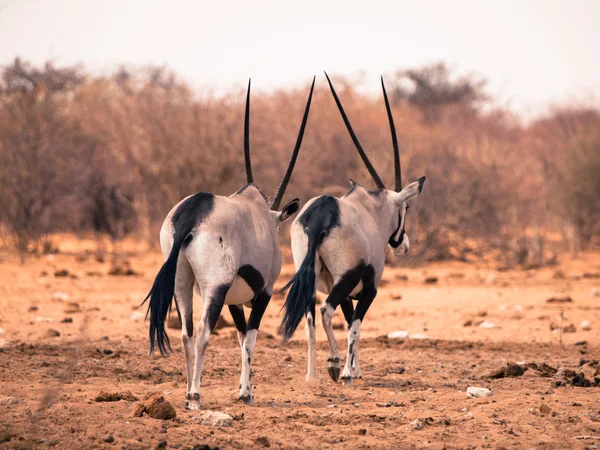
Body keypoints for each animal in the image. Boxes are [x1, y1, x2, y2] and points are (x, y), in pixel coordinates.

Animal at [144, 76, 316, 408]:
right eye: (276, 229)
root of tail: (192, 212)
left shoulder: (234, 300)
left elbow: (239, 337)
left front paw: (243, 387)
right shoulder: (262, 293)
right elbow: (249, 338)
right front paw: (246, 392)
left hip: (182, 282)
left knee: (186, 332)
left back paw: (187, 392)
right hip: (215, 286)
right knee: (202, 331)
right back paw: (195, 395)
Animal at [282, 72, 426, 384]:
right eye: (407, 208)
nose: (403, 244)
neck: (371, 211)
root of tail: (319, 215)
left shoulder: (349, 293)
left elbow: (349, 322)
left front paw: (355, 369)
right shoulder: (368, 288)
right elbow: (355, 326)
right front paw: (350, 371)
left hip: (310, 273)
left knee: (309, 318)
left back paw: (312, 375)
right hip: (345, 277)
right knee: (325, 310)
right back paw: (335, 365)